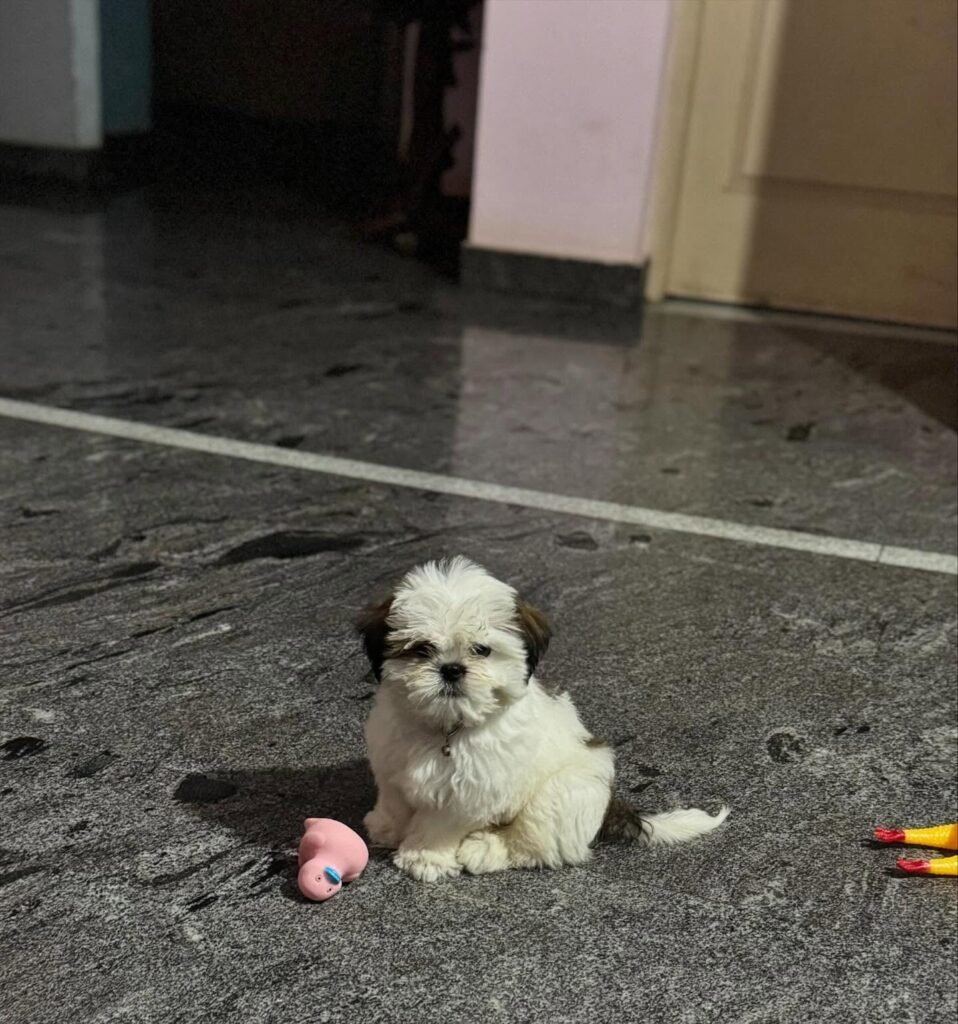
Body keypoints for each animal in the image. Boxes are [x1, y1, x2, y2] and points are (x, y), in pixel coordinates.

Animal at [358, 557, 724, 884]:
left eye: (481, 650)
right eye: (421, 649)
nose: (451, 669)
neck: (446, 727)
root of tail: (612, 805)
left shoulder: (471, 794)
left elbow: (440, 824)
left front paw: (423, 857)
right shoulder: (391, 766)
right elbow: (394, 800)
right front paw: (386, 826)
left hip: (562, 795)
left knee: (534, 844)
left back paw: (485, 849)